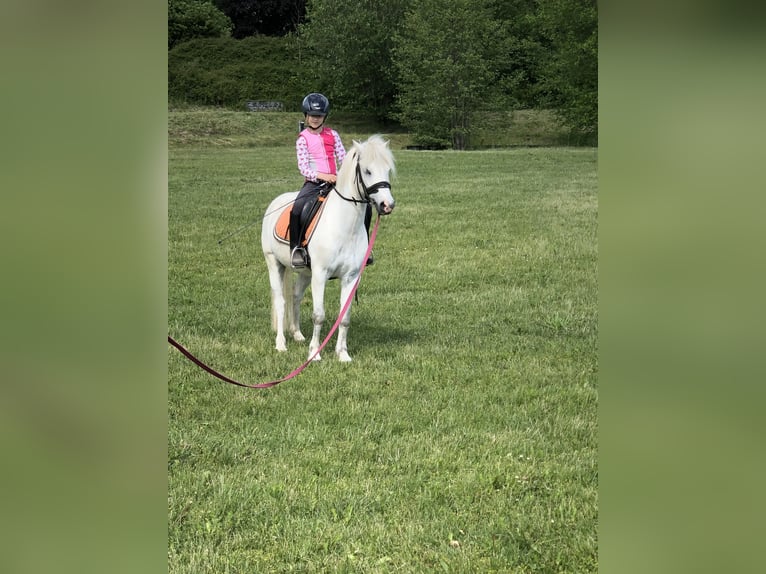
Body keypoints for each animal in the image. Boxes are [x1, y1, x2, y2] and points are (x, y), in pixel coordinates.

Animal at [262, 134, 396, 364]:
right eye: (367, 171)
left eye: (387, 169)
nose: (387, 205)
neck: (344, 226)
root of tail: (275, 203)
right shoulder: (320, 275)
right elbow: (319, 315)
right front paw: (314, 354)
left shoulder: (351, 277)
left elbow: (345, 317)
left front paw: (343, 354)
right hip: (274, 264)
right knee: (280, 301)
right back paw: (281, 344)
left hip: (305, 272)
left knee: (295, 297)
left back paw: (297, 334)